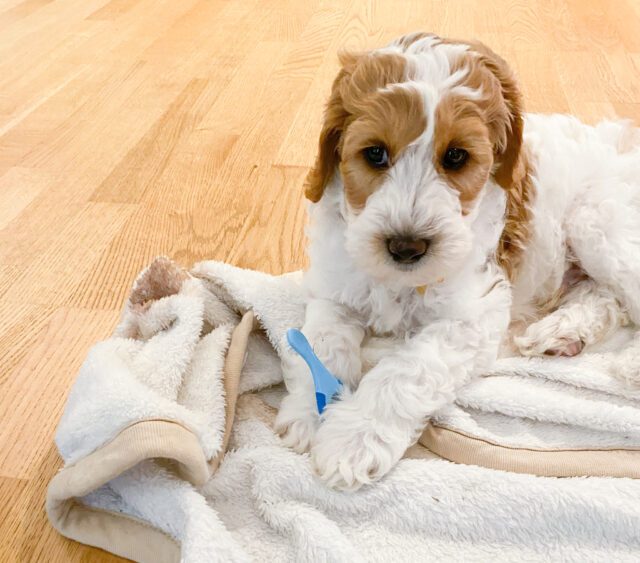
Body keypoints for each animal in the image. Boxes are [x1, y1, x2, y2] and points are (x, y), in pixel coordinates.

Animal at [276, 33, 640, 492]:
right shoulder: (335, 289)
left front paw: (355, 438)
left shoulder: (473, 314)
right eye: (375, 154)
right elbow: (321, 343)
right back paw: (559, 332)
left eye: (456, 157)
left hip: (599, 223)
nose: (406, 247)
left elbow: (407, 369)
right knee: (605, 296)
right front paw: (308, 412)